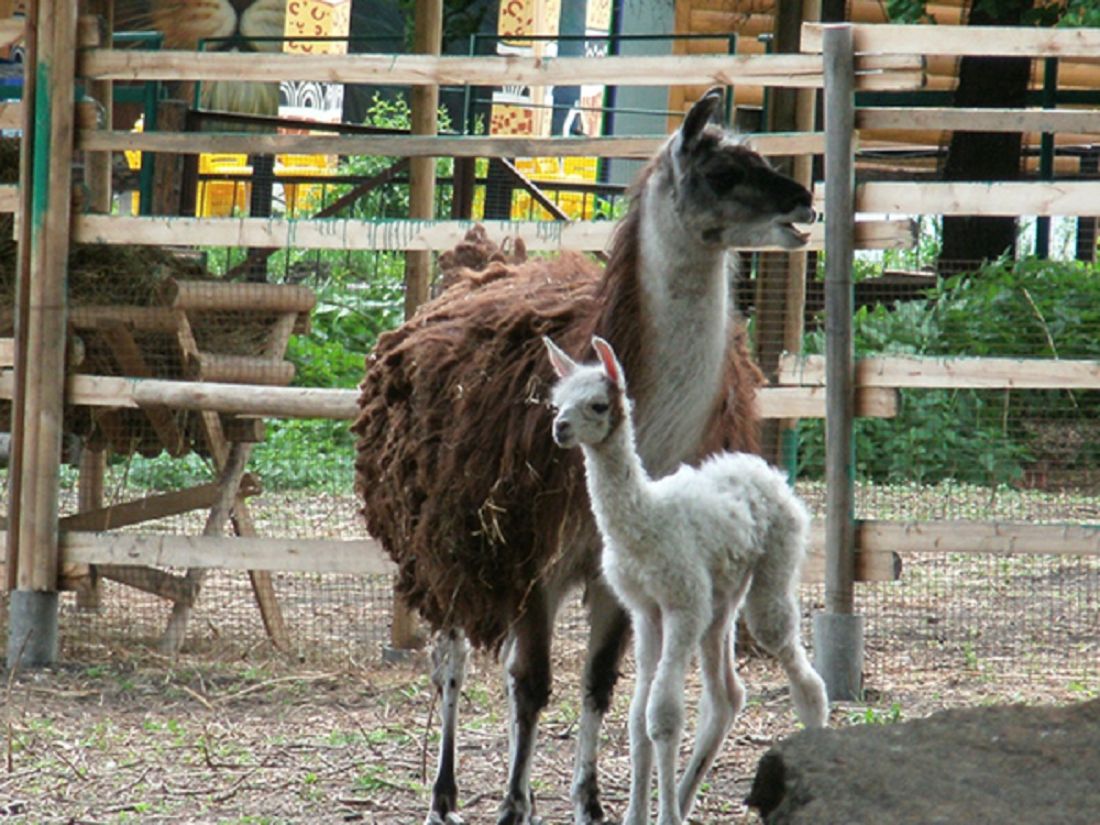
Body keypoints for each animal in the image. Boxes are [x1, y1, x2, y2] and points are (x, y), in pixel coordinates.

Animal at [545, 336, 827, 825]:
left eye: (598, 404)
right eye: (556, 402)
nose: (560, 428)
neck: (646, 522)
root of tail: (766, 471)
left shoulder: (681, 605)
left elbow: (663, 715)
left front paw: (663, 816)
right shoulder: (645, 609)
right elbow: (638, 717)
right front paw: (639, 815)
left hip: (769, 572)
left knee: (801, 674)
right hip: (720, 599)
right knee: (727, 695)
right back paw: (685, 793)